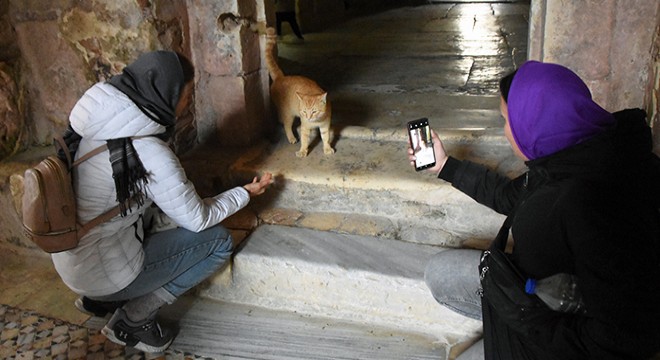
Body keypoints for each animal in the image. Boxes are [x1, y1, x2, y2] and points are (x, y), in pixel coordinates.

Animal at [264, 27, 336, 157]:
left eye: (314, 111)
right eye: (303, 112)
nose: (308, 117)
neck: (316, 121)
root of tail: (281, 77)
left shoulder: (324, 126)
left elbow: (326, 138)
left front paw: (327, 148)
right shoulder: (305, 127)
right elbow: (304, 140)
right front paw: (303, 151)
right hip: (288, 114)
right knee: (286, 125)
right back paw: (291, 137)